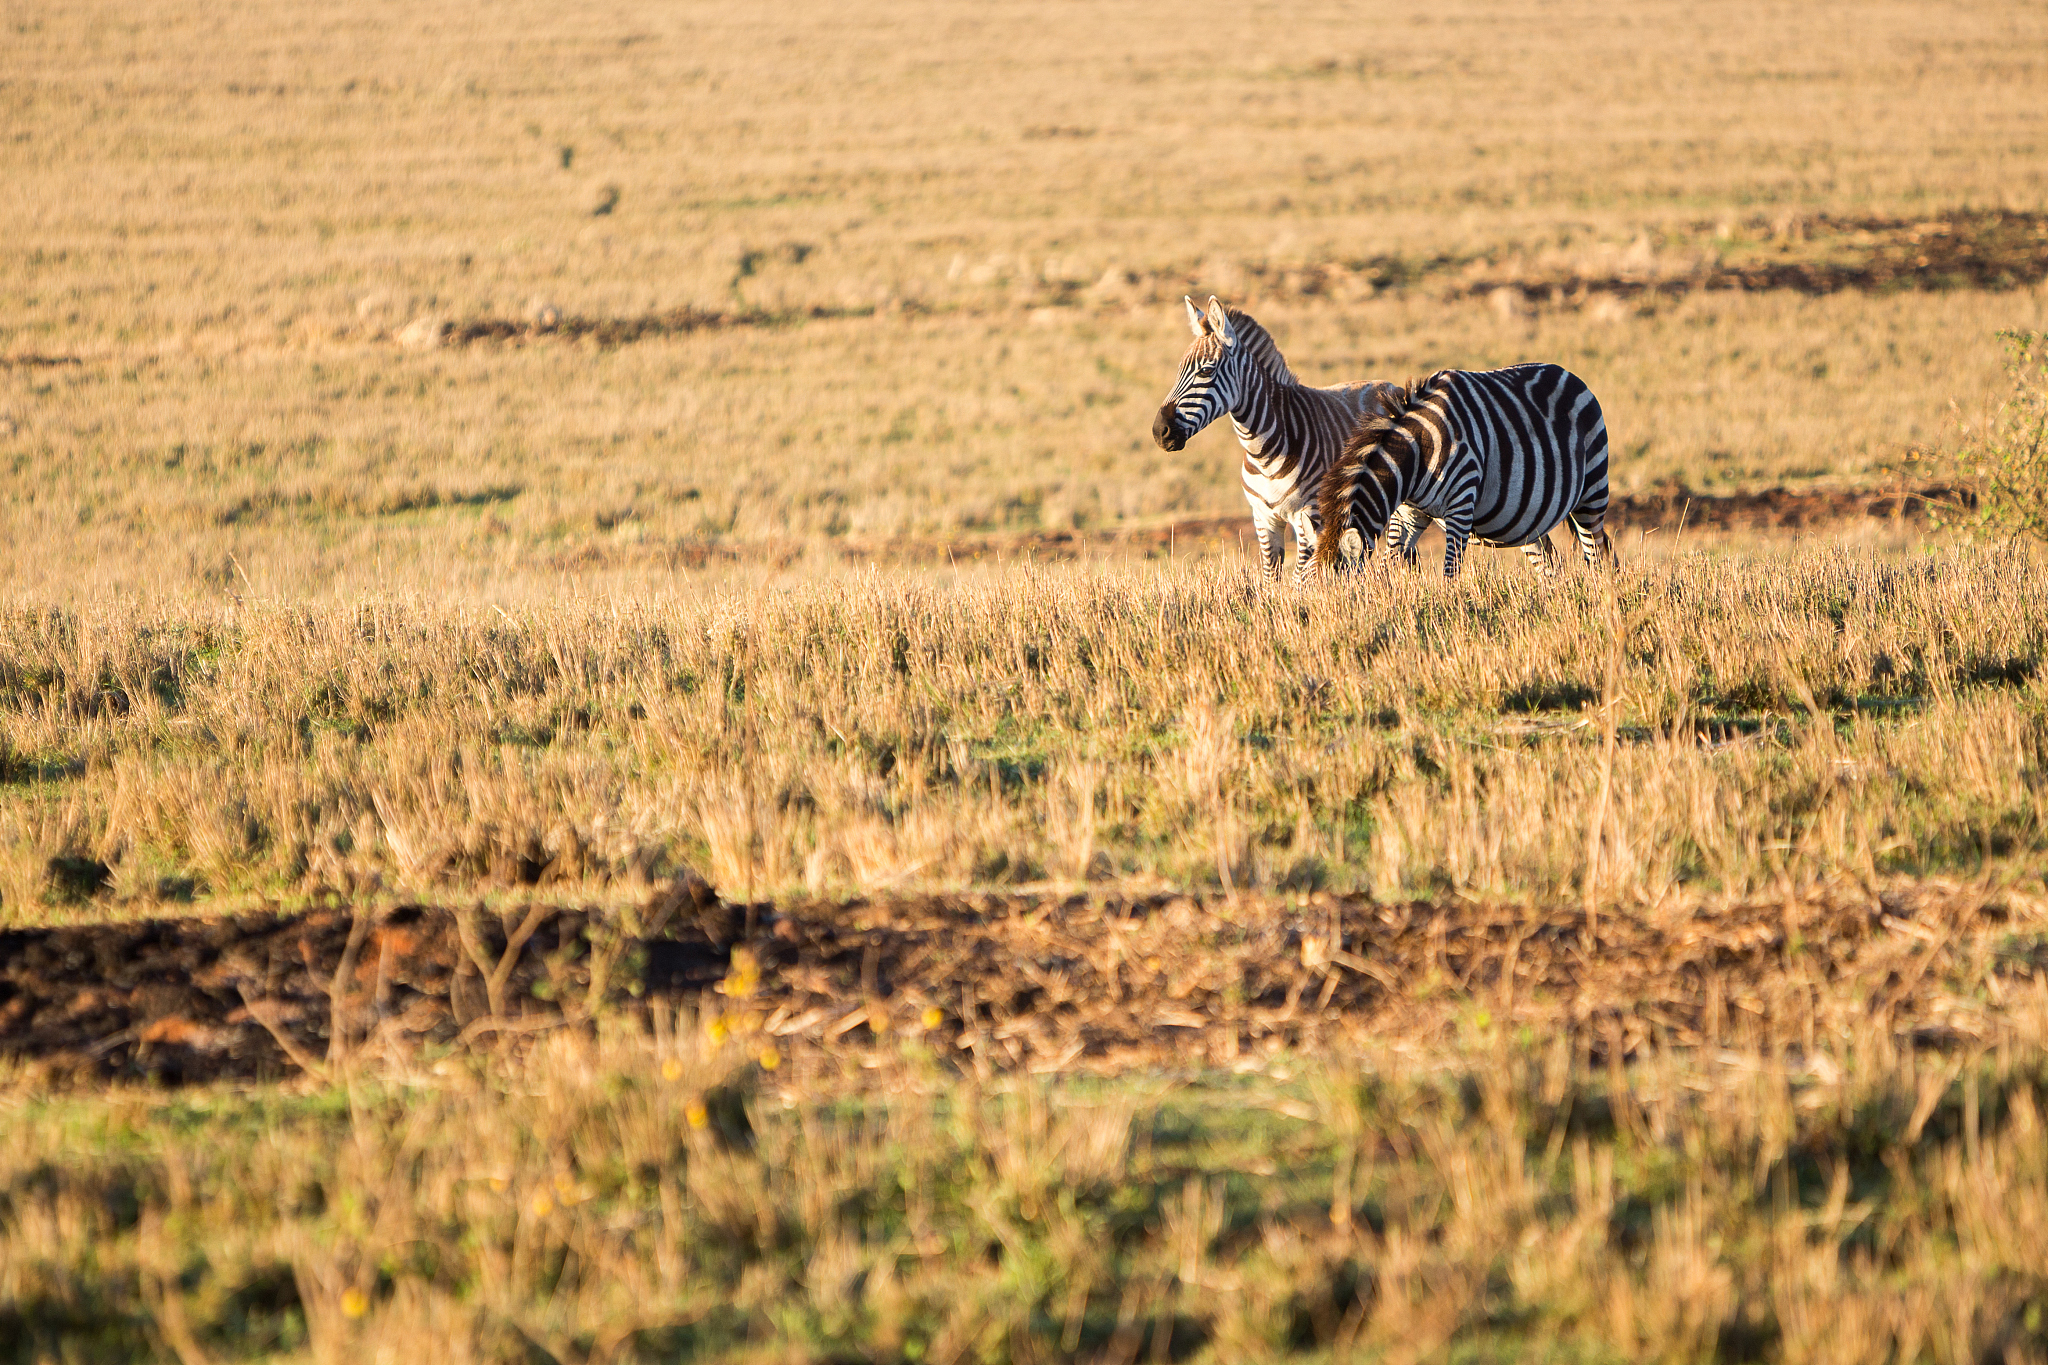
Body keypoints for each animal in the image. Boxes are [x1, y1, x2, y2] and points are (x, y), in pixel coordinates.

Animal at [1151, 295, 1411, 583]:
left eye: (1206, 371)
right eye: (1179, 370)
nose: (1160, 431)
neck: (1262, 453)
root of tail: (1391, 386)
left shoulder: (1309, 514)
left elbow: (1300, 577)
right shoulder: (1263, 519)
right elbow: (1270, 577)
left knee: (1397, 553)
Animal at [1312, 363, 1615, 579]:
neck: (1416, 456)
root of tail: (1569, 374)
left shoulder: (1461, 502)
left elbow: (1450, 571)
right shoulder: (1409, 514)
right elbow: (1390, 562)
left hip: (1592, 489)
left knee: (1596, 552)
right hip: (1531, 517)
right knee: (1550, 564)